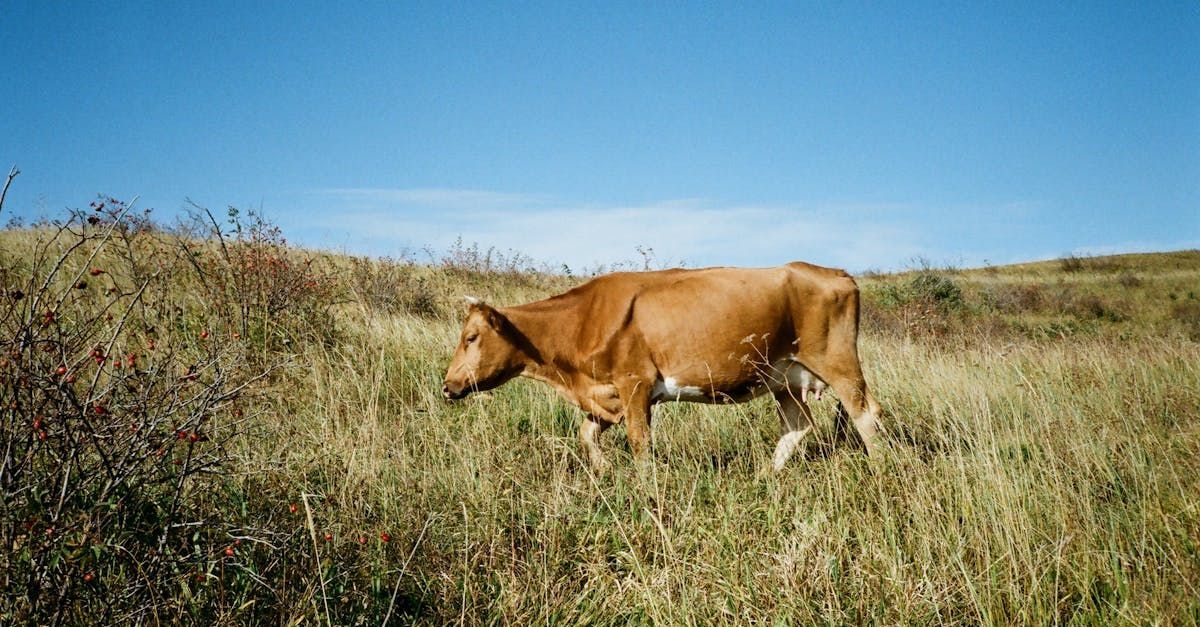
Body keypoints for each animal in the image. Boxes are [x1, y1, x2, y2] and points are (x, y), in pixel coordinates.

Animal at [441, 258, 883, 468]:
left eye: (471, 337)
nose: (448, 385)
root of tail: (835, 272)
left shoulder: (634, 382)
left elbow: (640, 442)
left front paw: (642, 487)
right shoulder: (607, 393)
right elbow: (586, 434)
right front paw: (603, 470)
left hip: (838, 362)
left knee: (866, 414)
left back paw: (880, 470)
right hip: (785, 378)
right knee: (798, 425)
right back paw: (764, 478)